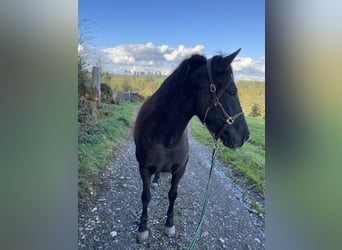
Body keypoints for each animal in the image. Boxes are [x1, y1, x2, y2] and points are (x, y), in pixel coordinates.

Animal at [133, 47, 248, 241]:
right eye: (232, 91)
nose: (245, 136)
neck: (165, 137)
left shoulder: (180, 169)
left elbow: (173, 195)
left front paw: (169, 224)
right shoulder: (144, 168)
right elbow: (145, 197)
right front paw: (142, 228)